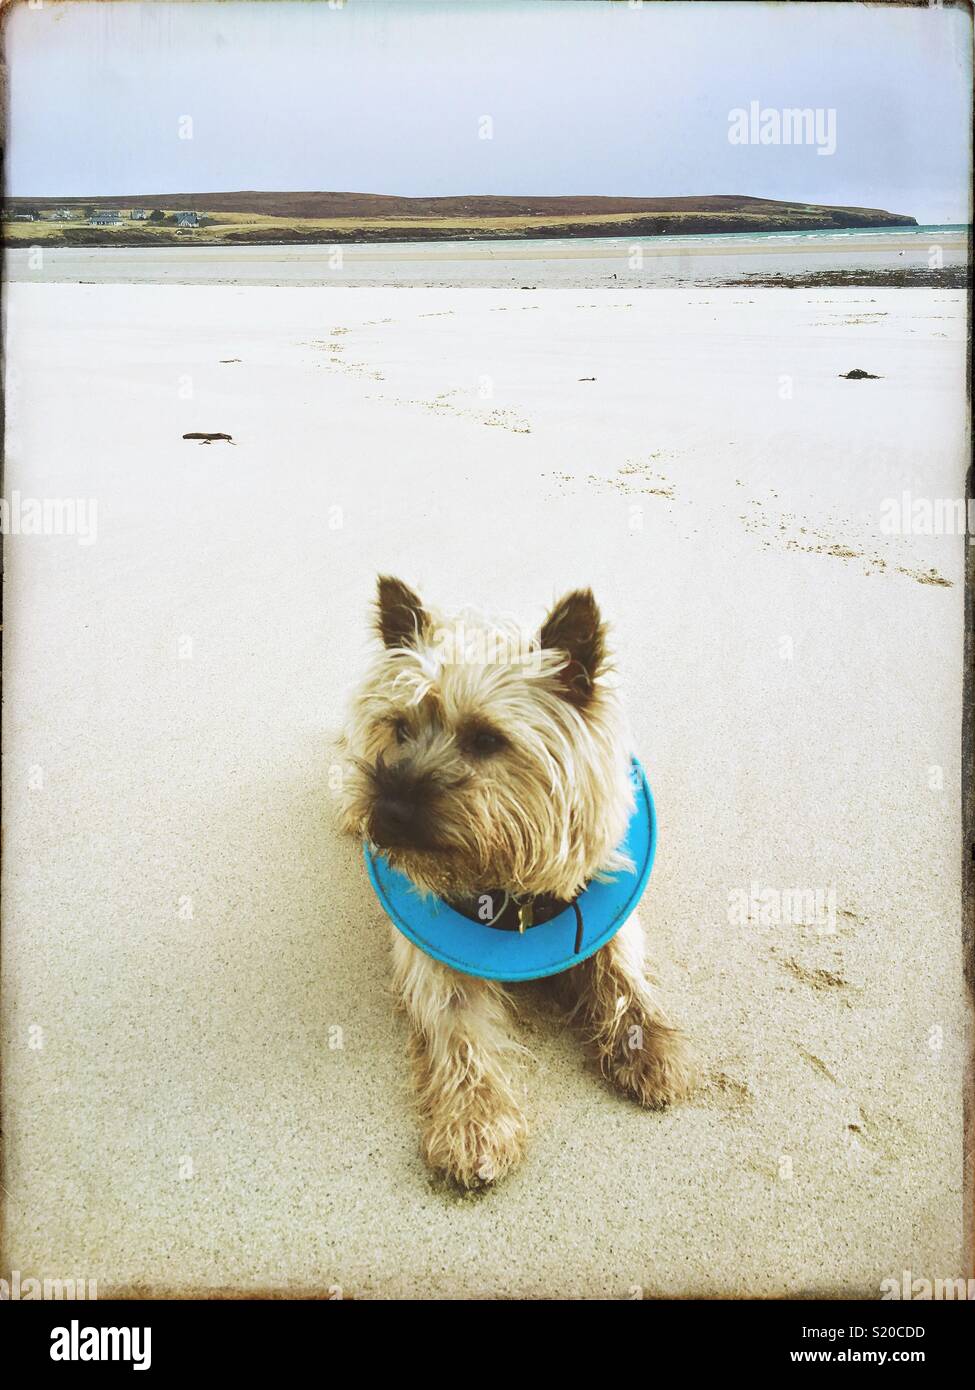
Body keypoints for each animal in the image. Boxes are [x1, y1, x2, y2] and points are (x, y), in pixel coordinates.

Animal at [342, 575, 692, 1184]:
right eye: (400, 728)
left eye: (487, 740)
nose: (387, 812)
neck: (505, 887)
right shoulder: (435, 966)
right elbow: (458, 1030)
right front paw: (474, 1124)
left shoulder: (609, 921)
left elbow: (621, 978)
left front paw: (648, 1045)